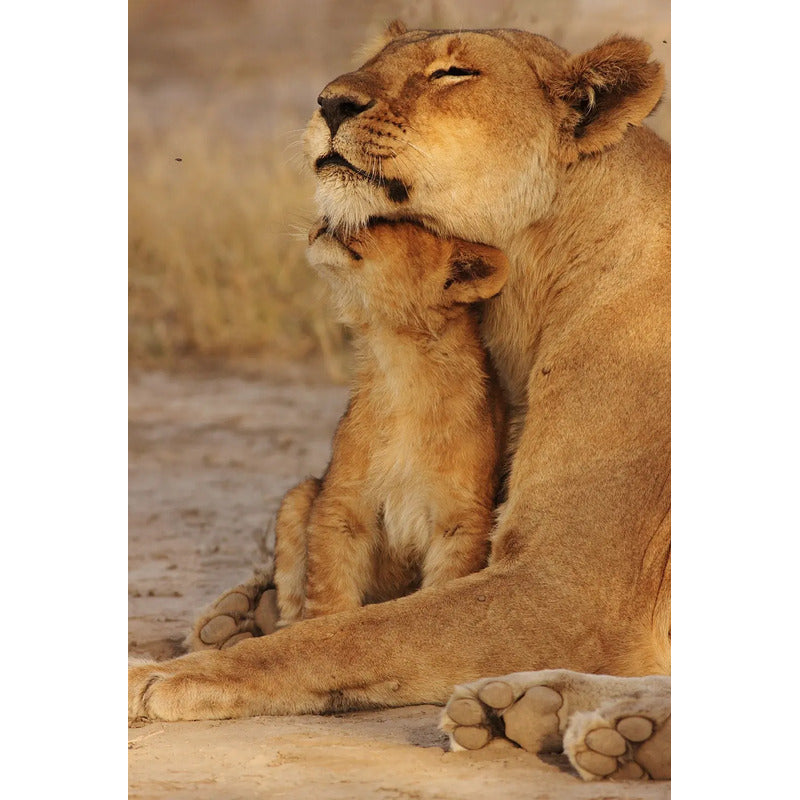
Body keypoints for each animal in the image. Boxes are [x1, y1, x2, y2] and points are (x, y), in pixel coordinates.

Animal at [130, 22, 671, 782]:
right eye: (380, 59)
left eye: (452, 72)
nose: (330, 101)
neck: (526, 292)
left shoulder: (572, 586)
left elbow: (344, 637)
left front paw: (165, 675)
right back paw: (532, 711)